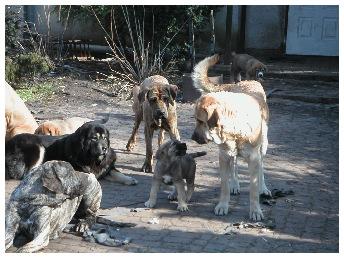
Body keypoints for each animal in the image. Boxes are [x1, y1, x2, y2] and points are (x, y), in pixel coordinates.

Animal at [4, 121, 137, 185]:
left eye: (104, 138)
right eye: (94, 138)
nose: (104, 148)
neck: (89, 157)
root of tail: (7, 144)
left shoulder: (105, 168)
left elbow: (117, 173)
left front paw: (129, 179)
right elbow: (91, 174)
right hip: (37, 147)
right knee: (27, 173)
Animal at [191, 53, 272, 221]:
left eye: (200, 121)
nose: (192, 138)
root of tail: (248, 81)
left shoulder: (254, 158)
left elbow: (254, 189)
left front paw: (255, 210)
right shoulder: (223, 156)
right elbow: (224, 185)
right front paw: (223, 205)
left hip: (263, 146)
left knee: (261, 168)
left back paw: (264, 188)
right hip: (231, 153)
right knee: (234, 165)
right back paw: (235, 184)